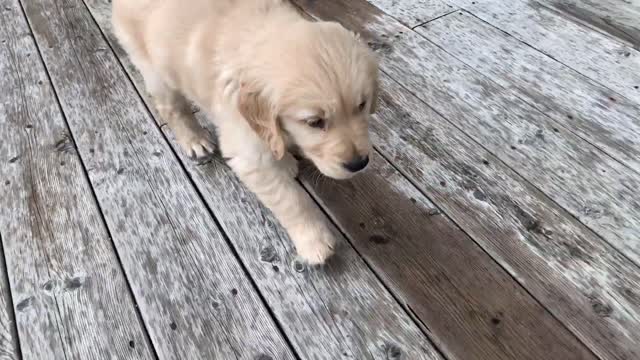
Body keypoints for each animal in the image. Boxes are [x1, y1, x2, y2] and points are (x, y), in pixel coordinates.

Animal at [112, 0, 378, 264]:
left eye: (362, 105)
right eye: (314, 122)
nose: (358, 164)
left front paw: (285, 162)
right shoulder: (248, 153)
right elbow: (291, 200)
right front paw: (314, 241)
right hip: (155, 70)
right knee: (172, 108)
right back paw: (195, 139)